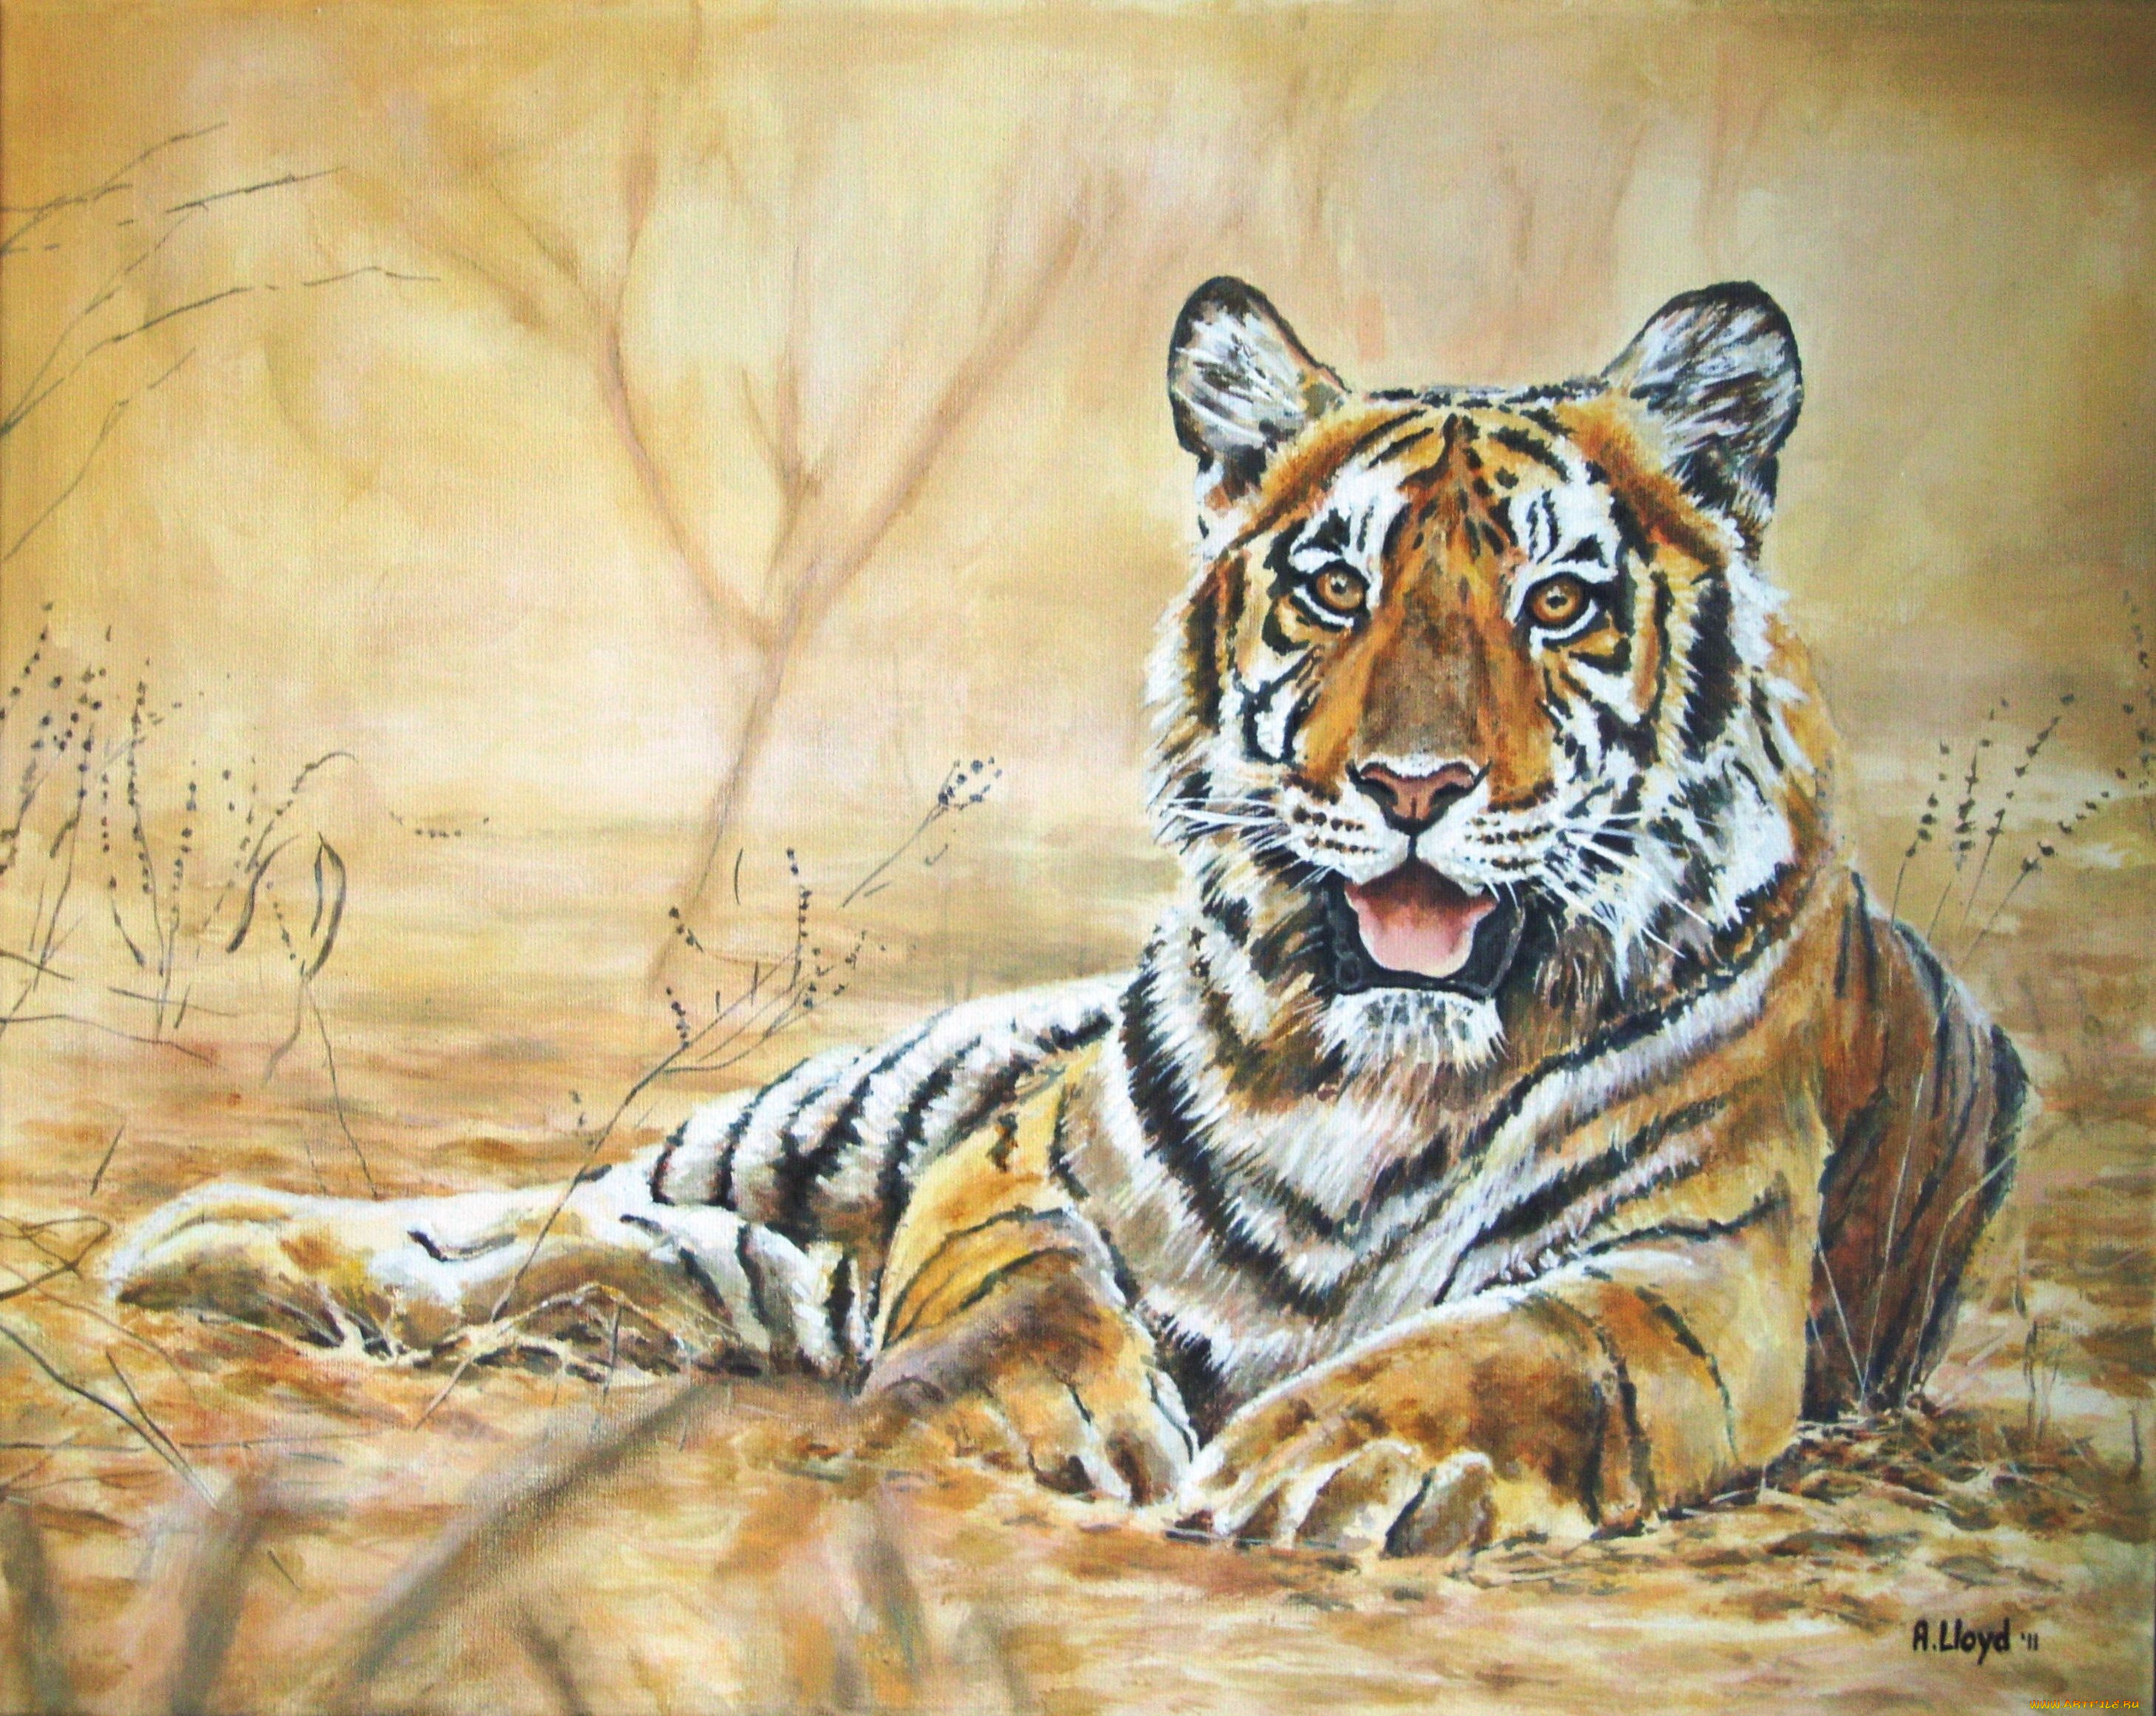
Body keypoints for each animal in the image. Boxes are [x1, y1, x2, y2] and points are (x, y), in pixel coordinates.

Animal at [112, 276, 2026, 1557]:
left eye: (1558, 605)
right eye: (1335, 587)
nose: (1413, 783)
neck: (1382, 1068)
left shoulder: (1696, 1259)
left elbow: (1512, 1345)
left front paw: (1333, 1458)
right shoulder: (1018, 1146)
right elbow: (1023, 1282)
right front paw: (1034, 1420)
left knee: (638, 1248)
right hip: (834, 1111)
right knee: (572, 1202)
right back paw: (206, 1237)